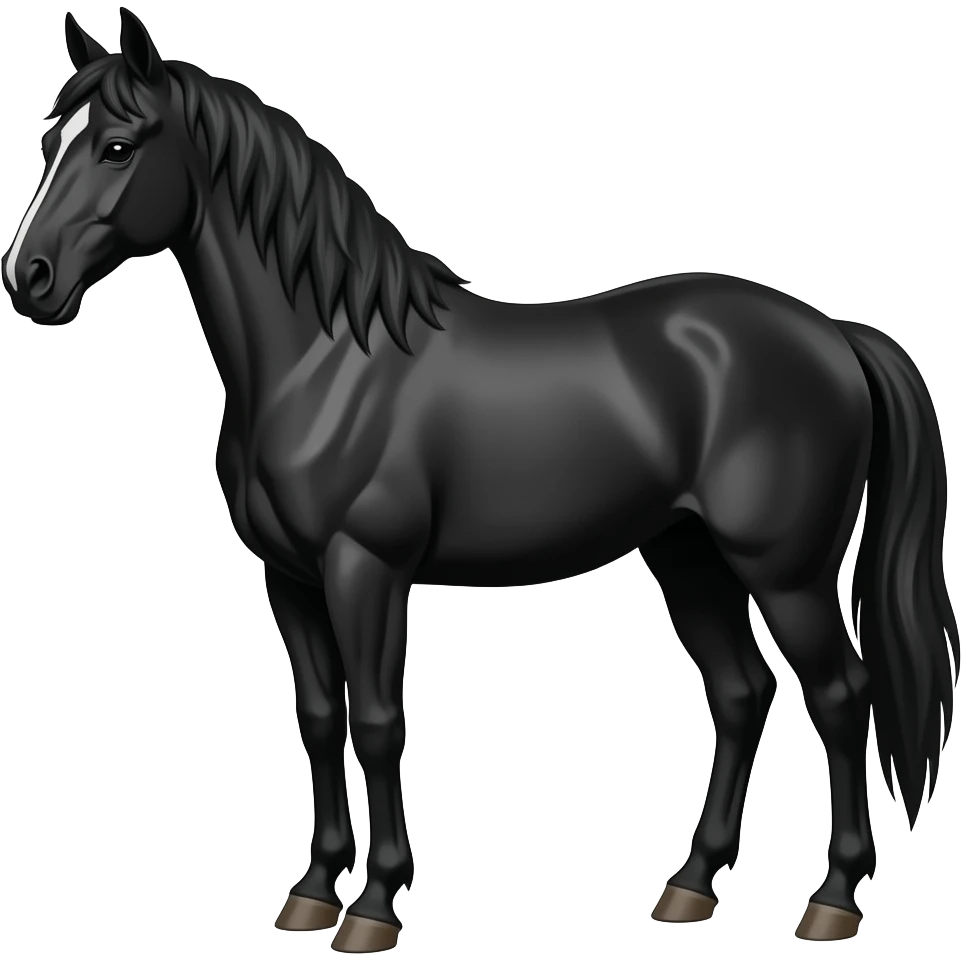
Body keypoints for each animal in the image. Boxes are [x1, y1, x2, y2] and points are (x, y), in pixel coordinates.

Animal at [4, 9, 958, 950]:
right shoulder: (290, 577)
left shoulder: (367, 569)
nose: (29, 279)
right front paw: (311, 892)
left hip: (785, 573)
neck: (325, 358)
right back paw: (690, 887)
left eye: (118, 147)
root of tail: (833, 334)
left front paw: (373, 905)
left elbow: (377, 723)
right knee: (740, 694)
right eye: (52, 139)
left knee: (842, 698)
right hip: (688, 556)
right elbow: (319, 719)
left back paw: (833, 899)